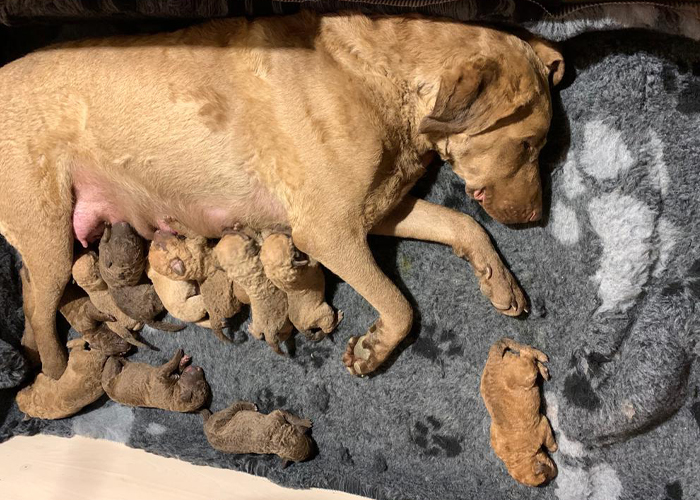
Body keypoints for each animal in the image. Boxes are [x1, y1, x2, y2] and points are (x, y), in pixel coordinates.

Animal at [0, 10, 564, 378]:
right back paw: (53, 373)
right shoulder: (329, 231)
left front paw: (499, 282)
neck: (388, 79)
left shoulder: (379, 209)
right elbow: (400, 305)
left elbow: (461, 223)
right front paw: (373, 350)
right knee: (39, 310)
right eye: (529, 143)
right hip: (48, 230)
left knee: (30, 293)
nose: (536, 216)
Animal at [478, 338, 556, 486]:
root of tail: (494, 359)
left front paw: (554, 447)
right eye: (546, 478)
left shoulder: (543, 425)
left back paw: (542, 359)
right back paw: (543, 369)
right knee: (527, 355)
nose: (555, 476)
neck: (518, 455)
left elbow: (550, 442)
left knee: (526, 351)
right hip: (525, 370)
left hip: (526, 373)